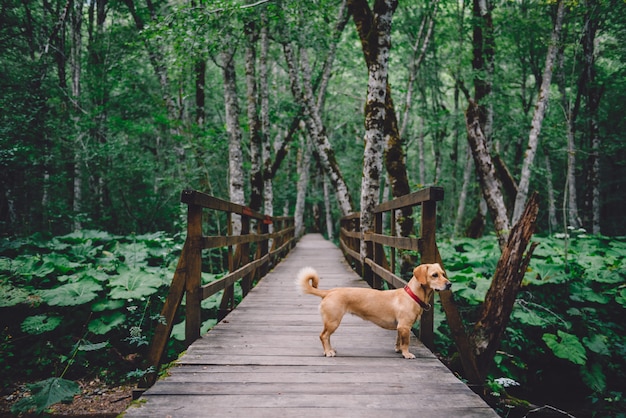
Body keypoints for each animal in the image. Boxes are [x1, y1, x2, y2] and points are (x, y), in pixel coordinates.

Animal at [296, 264, 448, 360]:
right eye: (434, 275)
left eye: (443, 274)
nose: (449, 284)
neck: (412, 295)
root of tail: (328, 292)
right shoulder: (405, 326)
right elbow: (406, 342)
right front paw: (407, 354)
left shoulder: (400, 328)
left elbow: (398, 340)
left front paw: (398, 350)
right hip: (333, 322)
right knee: (323, 336)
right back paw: (328, 352)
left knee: (326, 337)